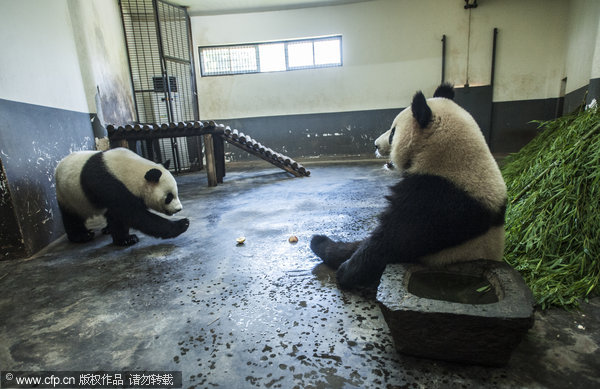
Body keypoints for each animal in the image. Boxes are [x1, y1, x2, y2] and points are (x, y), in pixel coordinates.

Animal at [55, 148, 190, 246]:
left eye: (176, 193)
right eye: (169, 197)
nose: (178, 209)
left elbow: (120, 216)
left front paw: (124, 238)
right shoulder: (108, 185)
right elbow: (133, 215)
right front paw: (182, 224)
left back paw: (107, 229)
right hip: (68, 195)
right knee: (71, 217)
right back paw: (82, 235)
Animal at [312, 82, 508, 288]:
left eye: (392, 132)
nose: (375, 145)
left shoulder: (439, 198)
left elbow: (394, 239)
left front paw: (346, 273)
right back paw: (319, 242)